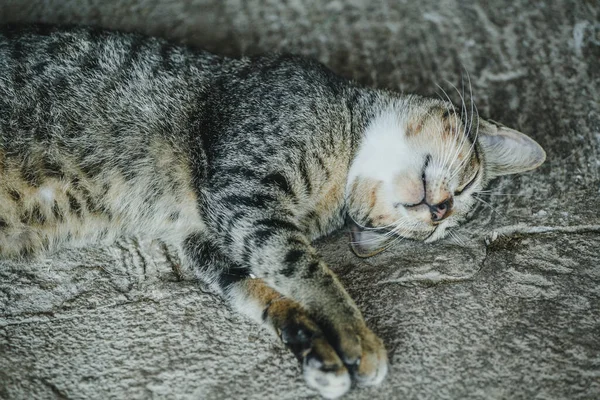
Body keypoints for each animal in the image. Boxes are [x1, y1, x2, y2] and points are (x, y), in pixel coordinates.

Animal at [0, 24, 544, 396]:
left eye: (427, 237)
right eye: (470, 181)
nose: (439, 212)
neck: (344, 154)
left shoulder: (212, 233)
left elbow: (260, 287)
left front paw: (316, 348)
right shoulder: (243, 193)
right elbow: (307, 268)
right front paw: (357, 337)